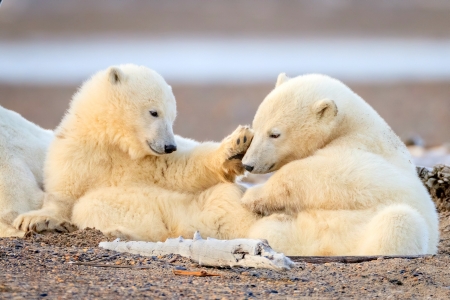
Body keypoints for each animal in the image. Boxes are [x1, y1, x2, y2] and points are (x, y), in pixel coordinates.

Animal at [13, 64, 256, 240]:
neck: (115, 144)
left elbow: (182, 170)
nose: (170, 146)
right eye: (154, 112)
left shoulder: (146, 163)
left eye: (172, 117)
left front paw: (238, 145)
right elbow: (64, 195)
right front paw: (33, 220)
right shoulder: (77, 154)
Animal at [243, 73, 440, 255]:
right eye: (255, 127)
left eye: (274, 134)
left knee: (400, 220)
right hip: (301, 230)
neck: (351, 127)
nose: (248, 164)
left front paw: (251, 195)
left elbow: (330, 171)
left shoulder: (366, 152)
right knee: (272, 230)